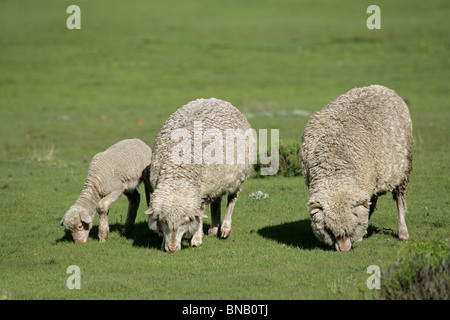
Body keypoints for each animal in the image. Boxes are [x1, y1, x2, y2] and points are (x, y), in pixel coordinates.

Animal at [146, 97, 255, 252]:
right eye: (163, 221)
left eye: (185, 221)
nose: (172, 249)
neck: (178, 173)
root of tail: (216, 100)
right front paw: (163, 243)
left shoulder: (202, 193)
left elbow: (200, 213)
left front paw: (196, 239)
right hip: (217, 180)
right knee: (216, 201)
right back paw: (214, 228)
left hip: (237, 177)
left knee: (231, 200)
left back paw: (225, 228)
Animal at [300, 85, 414, 252]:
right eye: (329, 230)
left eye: (353, 228)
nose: (344, 249)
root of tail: (381, 87)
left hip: (404, 169)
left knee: (400, 198)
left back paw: (403, 232)